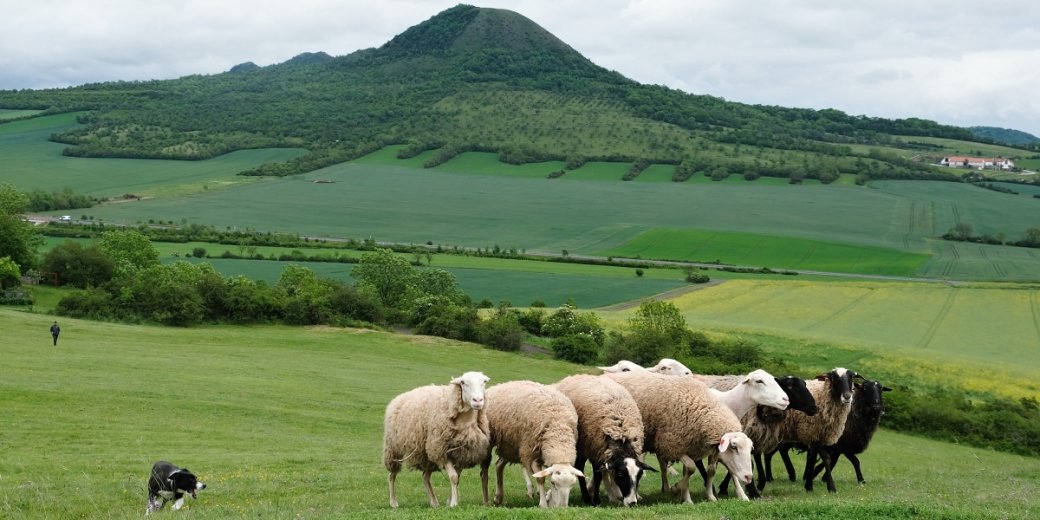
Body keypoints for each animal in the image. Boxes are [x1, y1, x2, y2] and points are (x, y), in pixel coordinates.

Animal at [384, 370, 492, 507]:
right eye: (463, 382)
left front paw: (450, 501)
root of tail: (398, 398)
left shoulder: (462, 454)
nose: (478, 400)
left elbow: (457, 478)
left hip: (427, 455)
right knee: (391, 475)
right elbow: (453, 477)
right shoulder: (441, 452)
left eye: (484, 381)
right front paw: (453, 503)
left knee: (425, 477)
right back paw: (393, 502)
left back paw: (434, 502)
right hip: (393, 448)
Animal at [478, 378, 586, 507]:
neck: (557, 427)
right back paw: (486, 501)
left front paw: (546, 497)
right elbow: (540, 479)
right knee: (484, 472)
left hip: (511, 445)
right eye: (553, 483)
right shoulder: (531, 454)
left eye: (572, 485)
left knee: (499, 465)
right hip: (491, 441)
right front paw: (543, 504)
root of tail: (496, 387)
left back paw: (498, 497)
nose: (562, 508)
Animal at [557, 372, 653, 505]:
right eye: (621, 474)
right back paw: (587, 498)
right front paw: (596, 501)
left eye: (639, 475)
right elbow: (597, 477)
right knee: (580, 468)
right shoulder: (596, 451)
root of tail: (574, 376)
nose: (632, 502)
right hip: (582, 446)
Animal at [603, 372, 757, 501]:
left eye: (751, 449)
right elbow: (691, 468)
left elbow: (709, 471)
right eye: (733, 447)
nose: (749, 477)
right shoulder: (673, 445)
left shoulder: (693, 446)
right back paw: (620, 494)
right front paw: (677, 489)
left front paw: (705, 497)